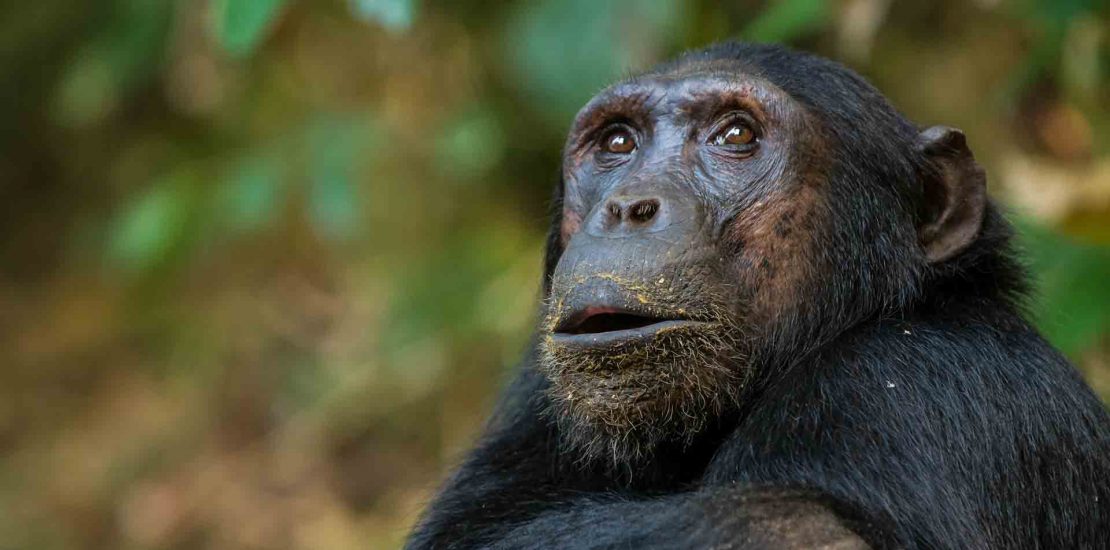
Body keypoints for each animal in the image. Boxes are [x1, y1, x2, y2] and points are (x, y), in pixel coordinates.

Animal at [406, 40, 1110, 548]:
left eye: (736, 136)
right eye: (617, 142)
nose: (628, 206)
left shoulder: (913, 384)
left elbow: (797, 527)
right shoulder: (536, 393)